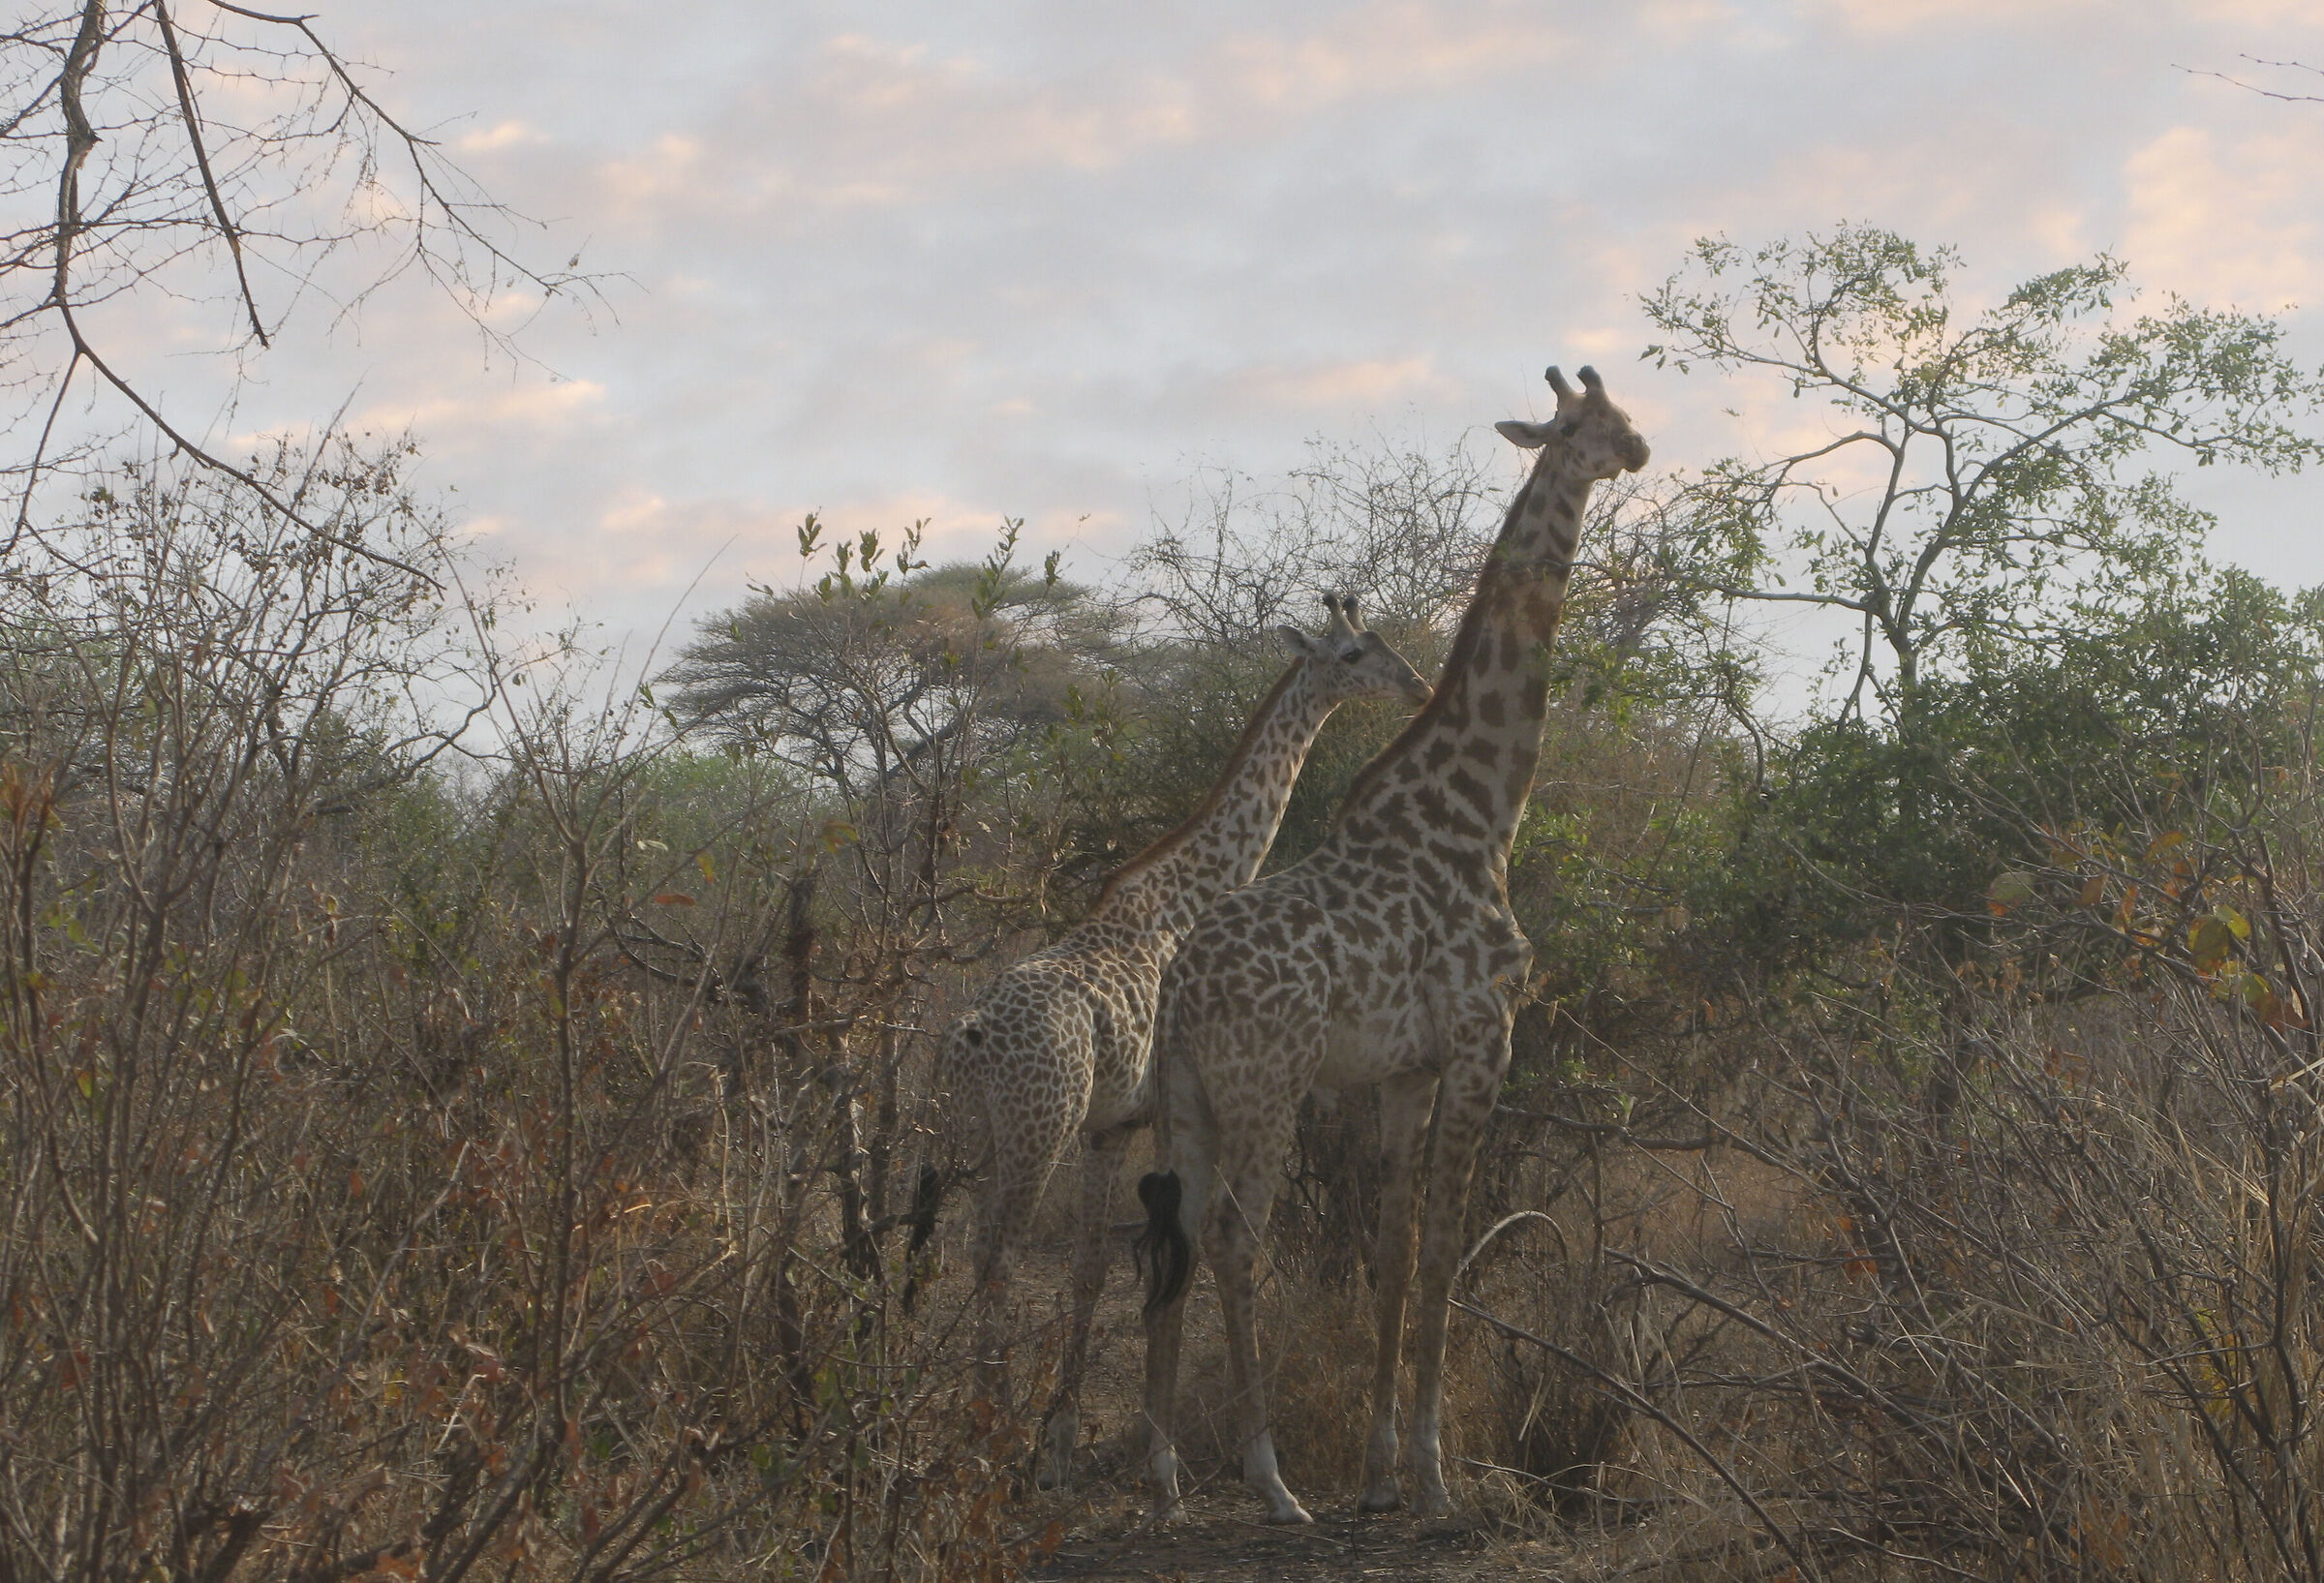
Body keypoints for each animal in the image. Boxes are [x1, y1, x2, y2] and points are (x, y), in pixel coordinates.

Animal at [934, 595, 1431, 1490]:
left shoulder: (1111, 1125)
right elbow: (1172, 1250)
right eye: (1351, 653)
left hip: (987, 1132)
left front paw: (1066, 1439)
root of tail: (969, 1035)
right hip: (1035, 1130)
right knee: (995, 1251)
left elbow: (1092, 1268)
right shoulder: (1166, 1106)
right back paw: (990, 1434)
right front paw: (1139, 1448)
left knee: (967, 1244)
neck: (1193, 889)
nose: (1415, 684)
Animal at [1134, 365, 1650, 1523]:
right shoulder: (1482, 1041)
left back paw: (1169, 1477)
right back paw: (1271, 1479)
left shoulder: (1402, 1071)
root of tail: (1180, 984)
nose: (1640, 449)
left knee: (1177, 1234)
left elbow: (1392, 1249)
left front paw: (1378, 1472)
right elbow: (1449, 1251)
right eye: (1590, 421)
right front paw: (1432, 1473)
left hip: (1187, 1095)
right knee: (1235, 1238)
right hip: (1268, 1087)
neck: (1484, 810)